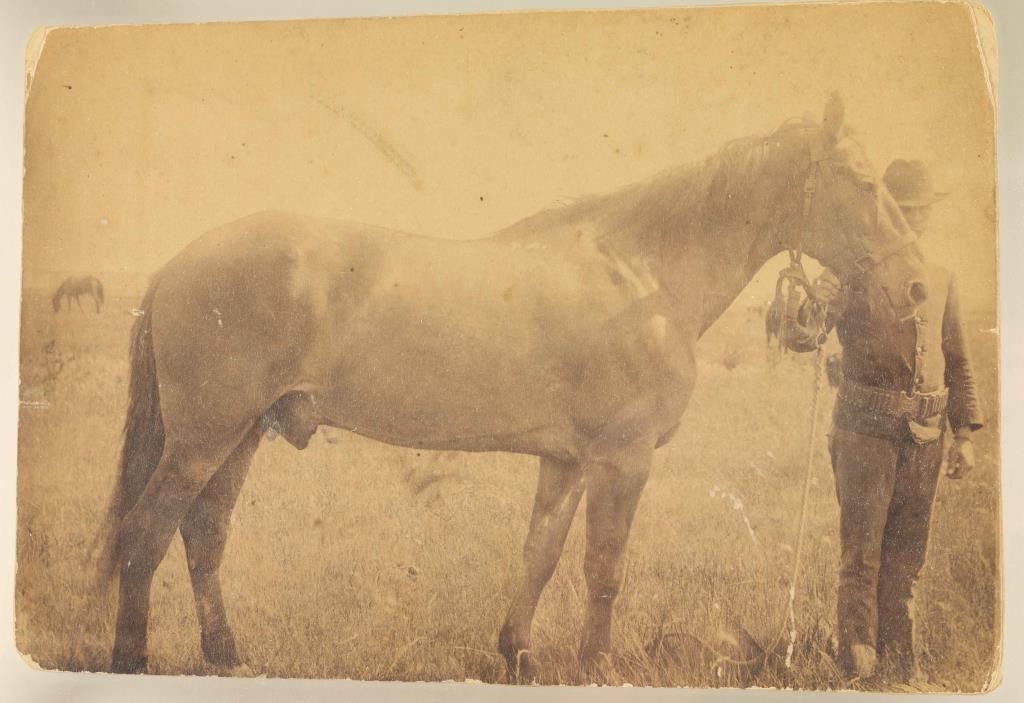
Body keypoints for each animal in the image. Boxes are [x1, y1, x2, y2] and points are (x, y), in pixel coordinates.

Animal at [97, 96, 928, 678]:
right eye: (861, 183)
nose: (916, 286)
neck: (642, 275)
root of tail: (175, 264)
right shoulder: (622, 460)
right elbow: (603, 567)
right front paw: (595, 665)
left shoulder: (563, 462)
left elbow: (542, 554)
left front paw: (518, 652)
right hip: (204, 438)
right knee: (146, 532)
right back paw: (134, 657)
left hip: (239, 436)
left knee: (203, 535)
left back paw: (226, 652)